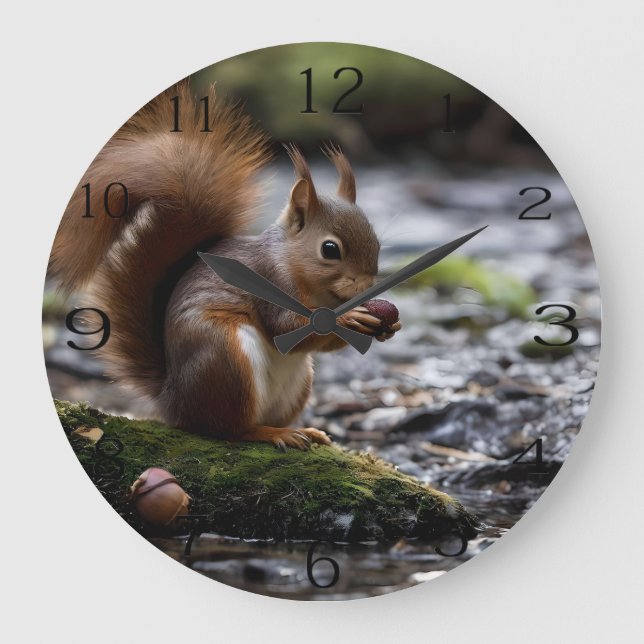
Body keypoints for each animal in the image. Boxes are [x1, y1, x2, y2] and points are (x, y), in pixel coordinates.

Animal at [50, 80, 402, 450]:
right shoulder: (270, 279)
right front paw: (349, 318)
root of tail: (173, 402)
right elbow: (288, 328)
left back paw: (306, 431)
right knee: (230, 429)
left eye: (376, 242)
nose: (366, 288)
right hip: (225, 358)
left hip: (297, 380)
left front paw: (386, 325)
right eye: (330, 249)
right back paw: (274, 434)